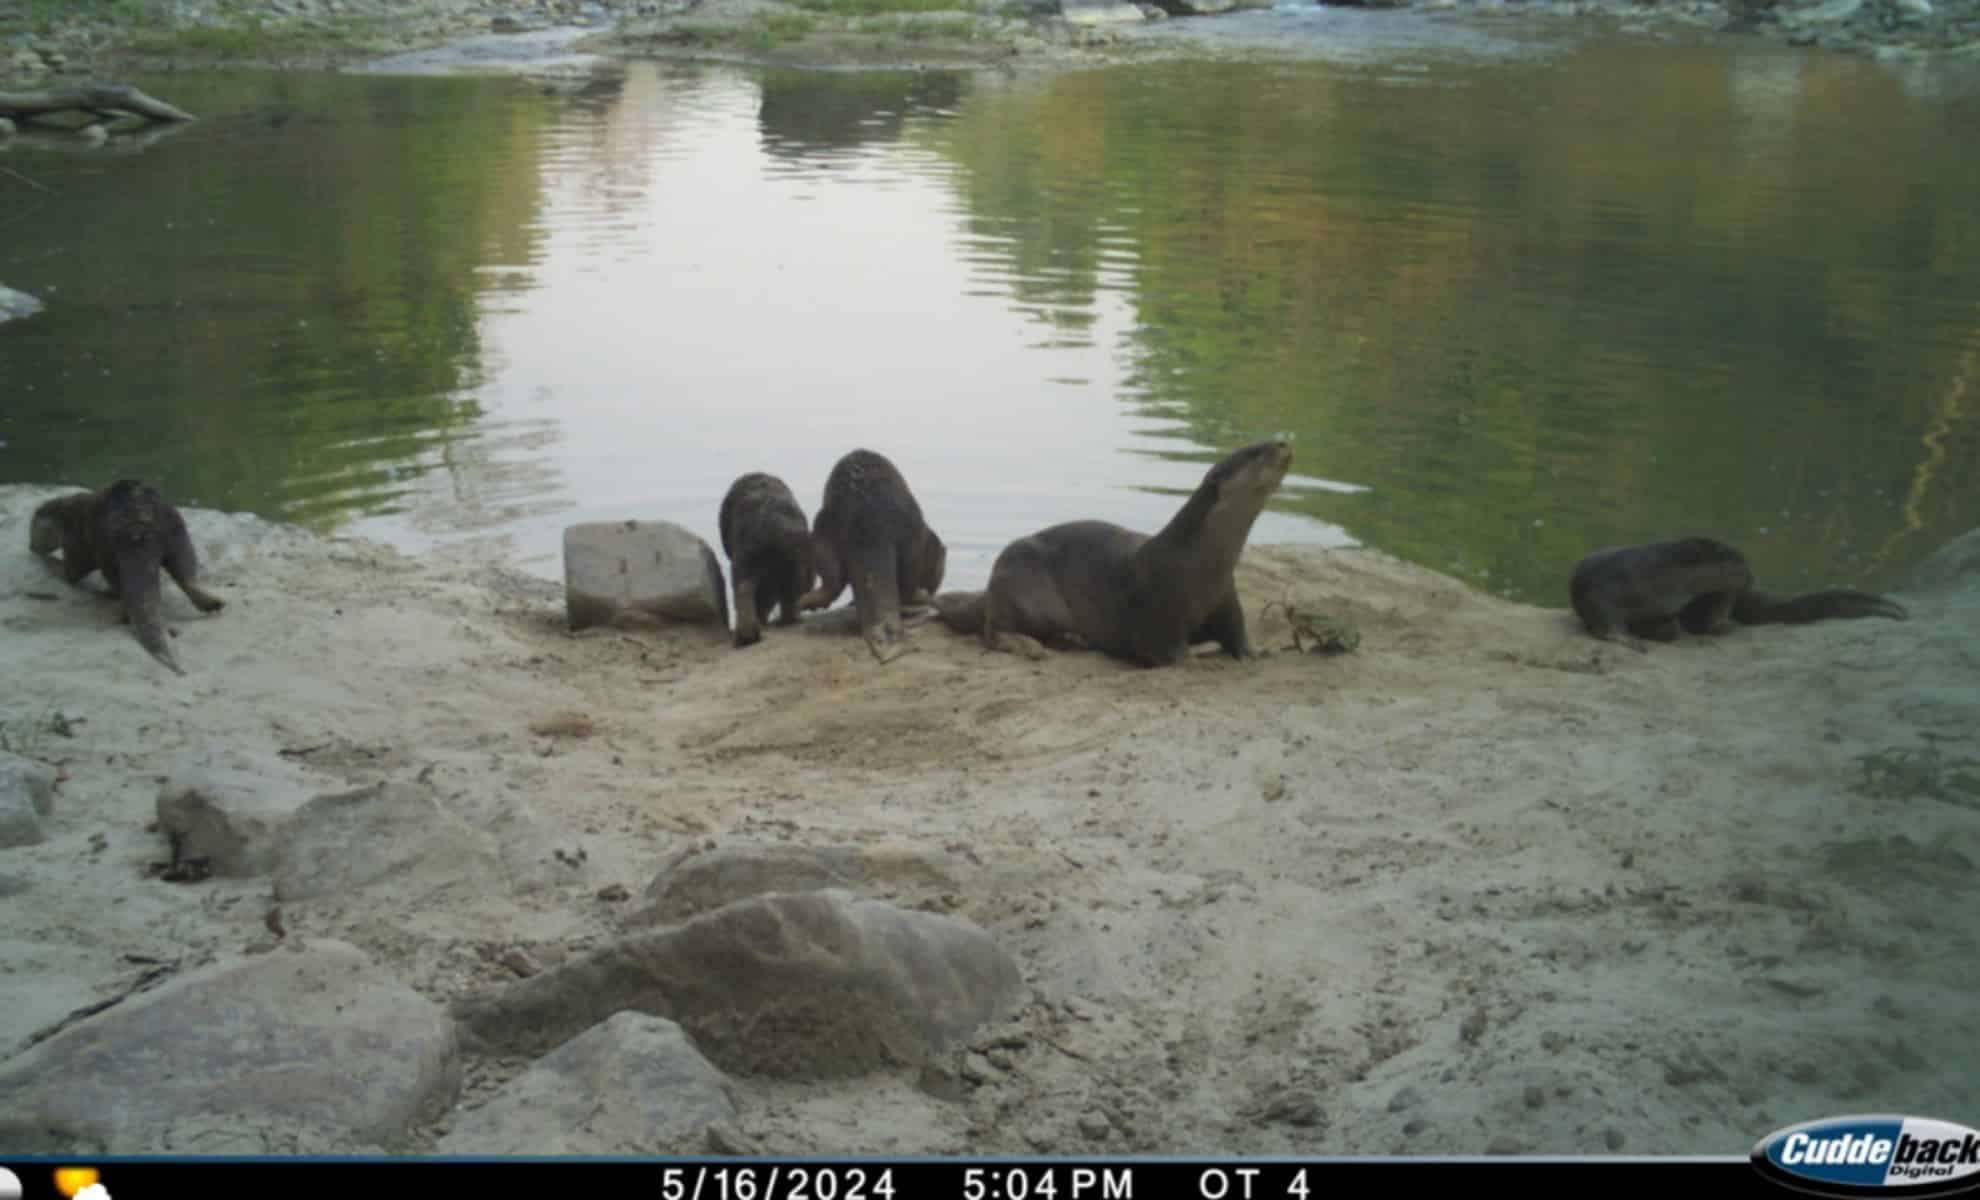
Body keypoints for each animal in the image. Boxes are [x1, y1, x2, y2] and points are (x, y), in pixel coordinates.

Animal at [30, 479, 226, 675]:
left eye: (32, 532)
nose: (31, 546)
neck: (68, 514)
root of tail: (138, 529)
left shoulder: (75, 541)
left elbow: (71, 573)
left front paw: (52, 564)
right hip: (176, 530)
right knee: (186, 571)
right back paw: (213, 604)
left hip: (108, 548)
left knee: (117, 584)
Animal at [933, 438, 1293, 668]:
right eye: (1255, 451)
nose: (1283, 443)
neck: (1198, 564)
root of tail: (990, 585)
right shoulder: (1157, 608)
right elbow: (1165, 650)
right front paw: (1192, 660)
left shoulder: (1226, 598)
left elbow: (1236, 632)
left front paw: (1257, 652)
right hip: (1019, 581)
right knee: (992, 631)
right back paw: (1031, 646)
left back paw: (1072, 639)